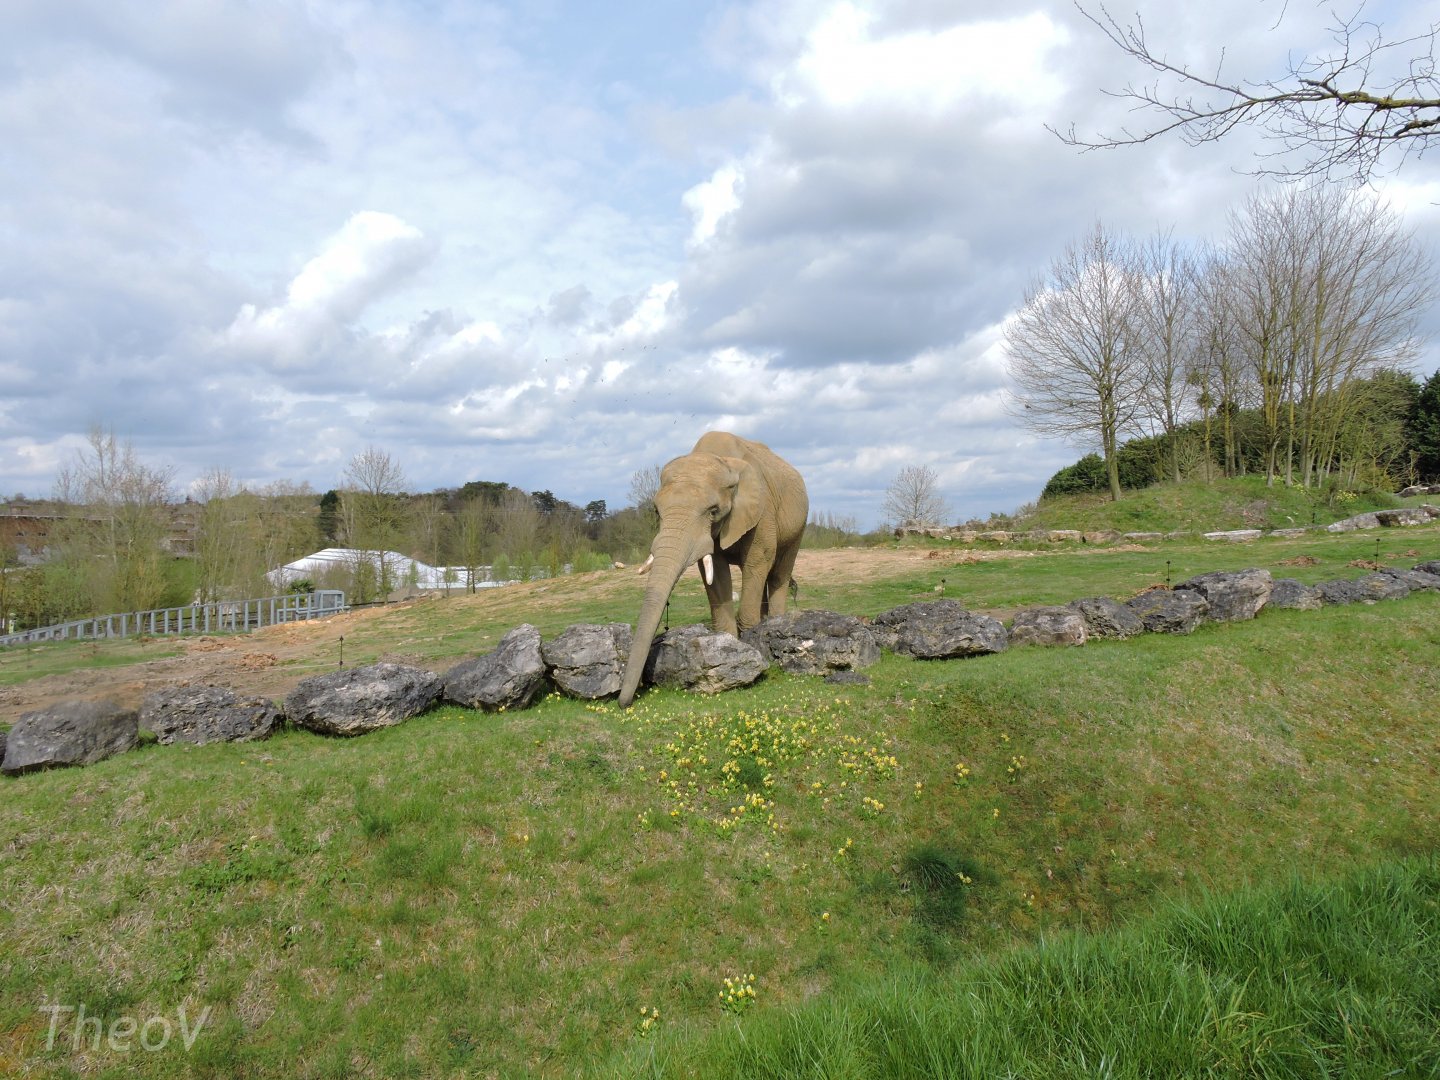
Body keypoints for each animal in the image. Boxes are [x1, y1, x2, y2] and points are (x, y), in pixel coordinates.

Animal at [617, 431, 808, 708]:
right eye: (656, 511)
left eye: (713, 511)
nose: (623, 703)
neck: (721, 462)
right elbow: (715, 573)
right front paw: (730, 648)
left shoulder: (762, 509)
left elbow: (757, 560)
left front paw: (754, 646)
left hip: (798, 524)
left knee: (778, 573)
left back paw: (773, 622)